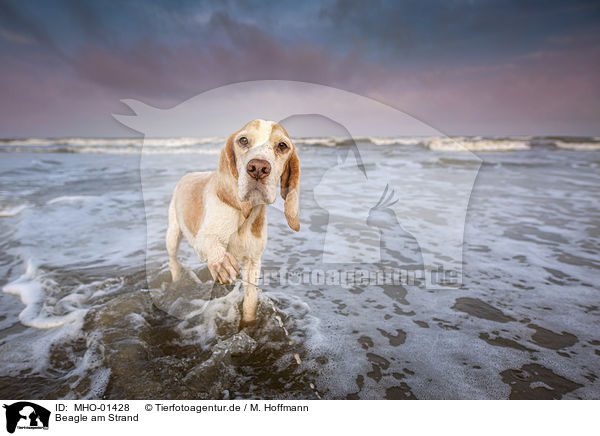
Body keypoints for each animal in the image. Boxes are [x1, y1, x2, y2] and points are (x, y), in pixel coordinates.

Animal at [166, 119, 300, 328]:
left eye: (282, 145)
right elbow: (213, 245)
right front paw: (222, 262)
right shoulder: (202, 238)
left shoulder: (253, 262)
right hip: (172, 235)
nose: (258, 168)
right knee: (173, 261)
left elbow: (250, 302)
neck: (244, 215)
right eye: (243, 140)